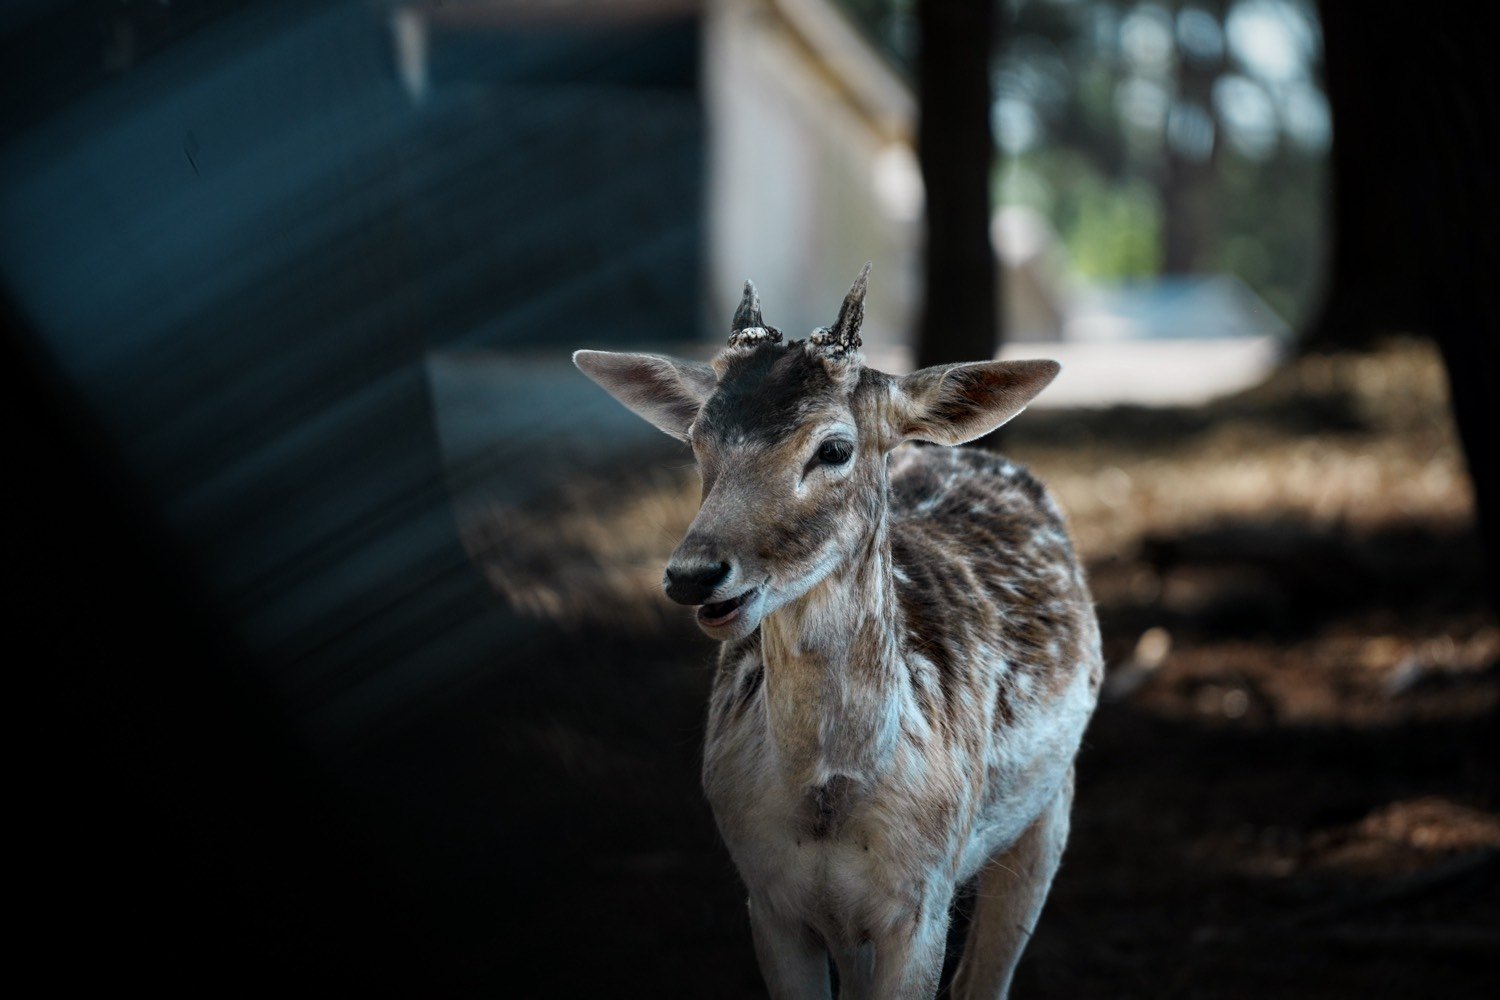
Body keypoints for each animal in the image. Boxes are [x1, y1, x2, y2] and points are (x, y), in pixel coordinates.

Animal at [573, 264, 1102, 999]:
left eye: (833, 448)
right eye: (697, 442)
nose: (693, 574)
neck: (828, 804)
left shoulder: (922, 902)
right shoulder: (768, 899)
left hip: (1050, 807)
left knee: (984, 979)